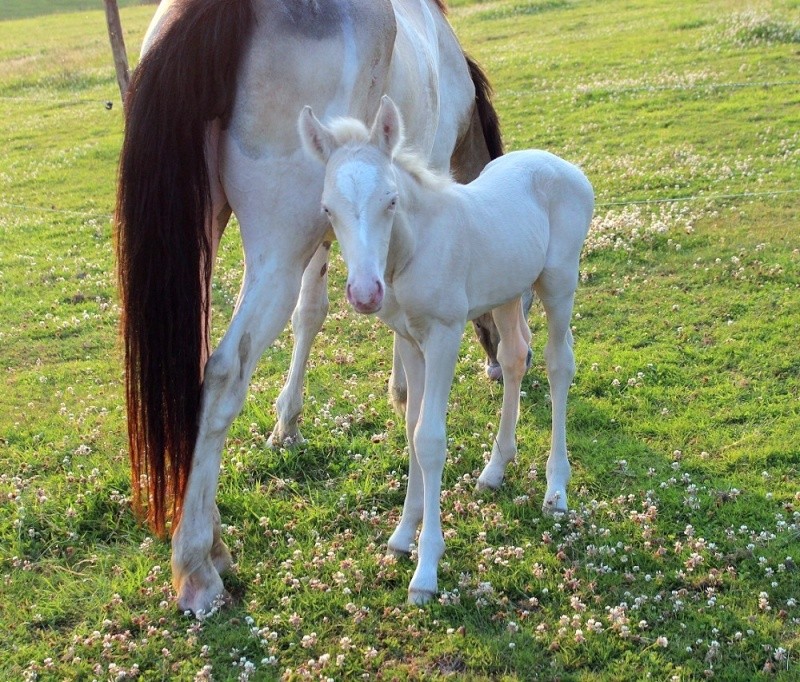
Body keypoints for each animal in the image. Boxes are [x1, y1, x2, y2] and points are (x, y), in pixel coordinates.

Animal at [115, 0, 504, 612]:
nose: (501, 362)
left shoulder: (336, 221)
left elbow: (314, 310)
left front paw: (289, 423)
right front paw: (400, 390)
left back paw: (212, 538)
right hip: (275, 250)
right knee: (223, 372)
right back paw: (197, 566)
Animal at [296, 97, 592, 600]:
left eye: (390, 201)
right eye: (327, 209)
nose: (364, 294)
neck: (414, 249)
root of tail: (562, 165)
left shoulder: (444, 334)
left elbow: (430, 438)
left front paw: (427, 567)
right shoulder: (409, 340)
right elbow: (411, 425)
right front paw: (402, 535)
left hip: (558, 284)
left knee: (558, 365)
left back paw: (556, 489)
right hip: (507, 293)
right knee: (515, 358)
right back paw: (495, 469)